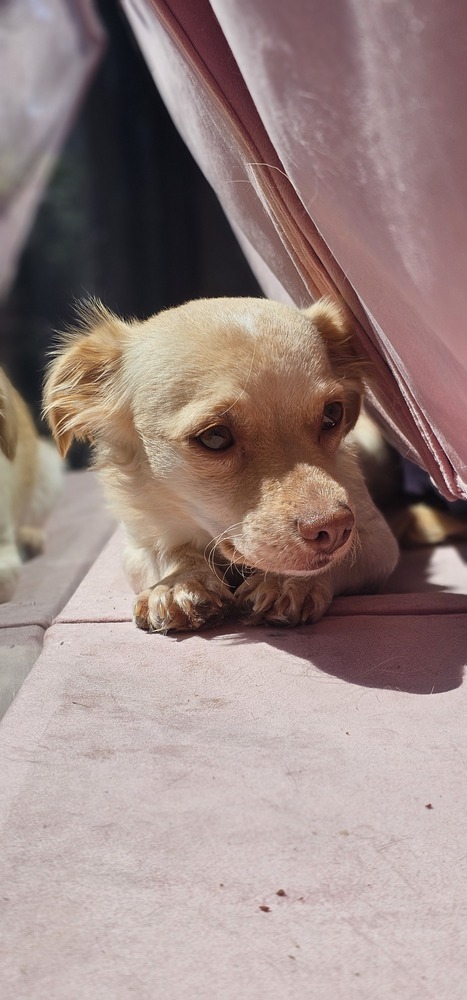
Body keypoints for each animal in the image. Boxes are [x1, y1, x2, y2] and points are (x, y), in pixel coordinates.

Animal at [44, 292, 398, 628]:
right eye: (215, 437)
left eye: (332, 415)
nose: (335, 528)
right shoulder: (137, 545)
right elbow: (169, 549)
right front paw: (179, 583)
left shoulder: (379, 543)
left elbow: (340, 558)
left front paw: (290, 583)